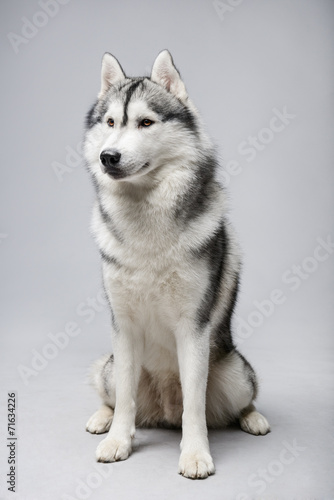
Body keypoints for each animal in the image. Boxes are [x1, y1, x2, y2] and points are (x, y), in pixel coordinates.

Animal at [84, 51, 272, 480]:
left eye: (146, 122)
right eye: (110, 123)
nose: (108, 157)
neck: (146, 223)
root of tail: (163, 409)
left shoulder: (193, 328)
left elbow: (195, 405)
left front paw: (196, 454)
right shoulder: (123, 327)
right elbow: (125, 403)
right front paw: (118, 441)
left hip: (235, 374)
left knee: (239, 401)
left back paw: (253, 419)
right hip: (110, 367)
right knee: (114, 395)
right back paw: (101, 418)